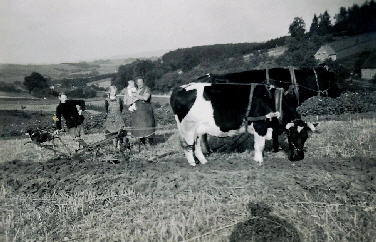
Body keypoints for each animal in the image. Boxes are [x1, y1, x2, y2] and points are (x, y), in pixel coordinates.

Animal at [170, 82, 314, 165]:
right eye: (293, 137)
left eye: (305, 137)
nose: (299, 157)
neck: (270, 100)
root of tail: (179, 88)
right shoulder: (260, 125)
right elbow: (259, 146)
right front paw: (259, 161)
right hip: (188, 127)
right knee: (188, 146)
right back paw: (193, 163)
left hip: (197, 129)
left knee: (196, 145)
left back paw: (204, 161)